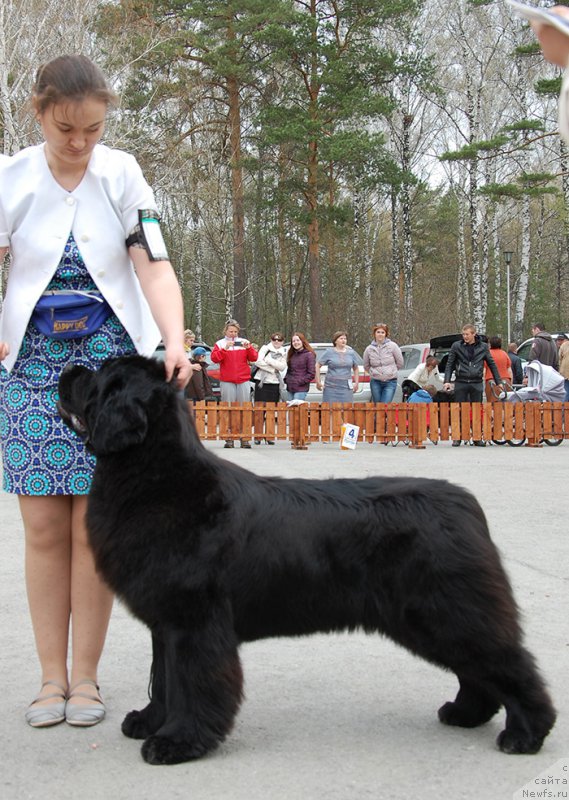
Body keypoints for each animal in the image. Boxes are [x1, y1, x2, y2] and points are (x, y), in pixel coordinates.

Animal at [57, 354, 556, 764]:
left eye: (99, 378)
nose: (67, 370)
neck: (158, 478)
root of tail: (467, 504)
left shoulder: (194, 622)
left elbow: (192, 683)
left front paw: (178, 741)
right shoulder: (166, 624)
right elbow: (162, 679)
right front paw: (148, 721)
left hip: (450, 611)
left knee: (509, 664)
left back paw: (526, 734)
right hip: (435, 618)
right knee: (477, 669)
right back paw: (465, 713)